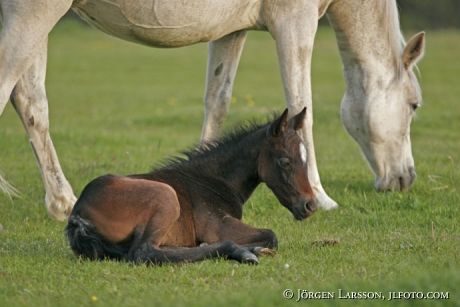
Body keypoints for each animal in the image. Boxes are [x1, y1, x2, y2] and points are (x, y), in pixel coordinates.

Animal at [0, 0, 424, 221]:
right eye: (414, 105)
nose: (406, 178)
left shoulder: (231, 32)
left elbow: (218, 101)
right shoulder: (295, 21)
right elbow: (301, 106)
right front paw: (322, 196)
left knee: (31, 103)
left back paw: (63, 203)